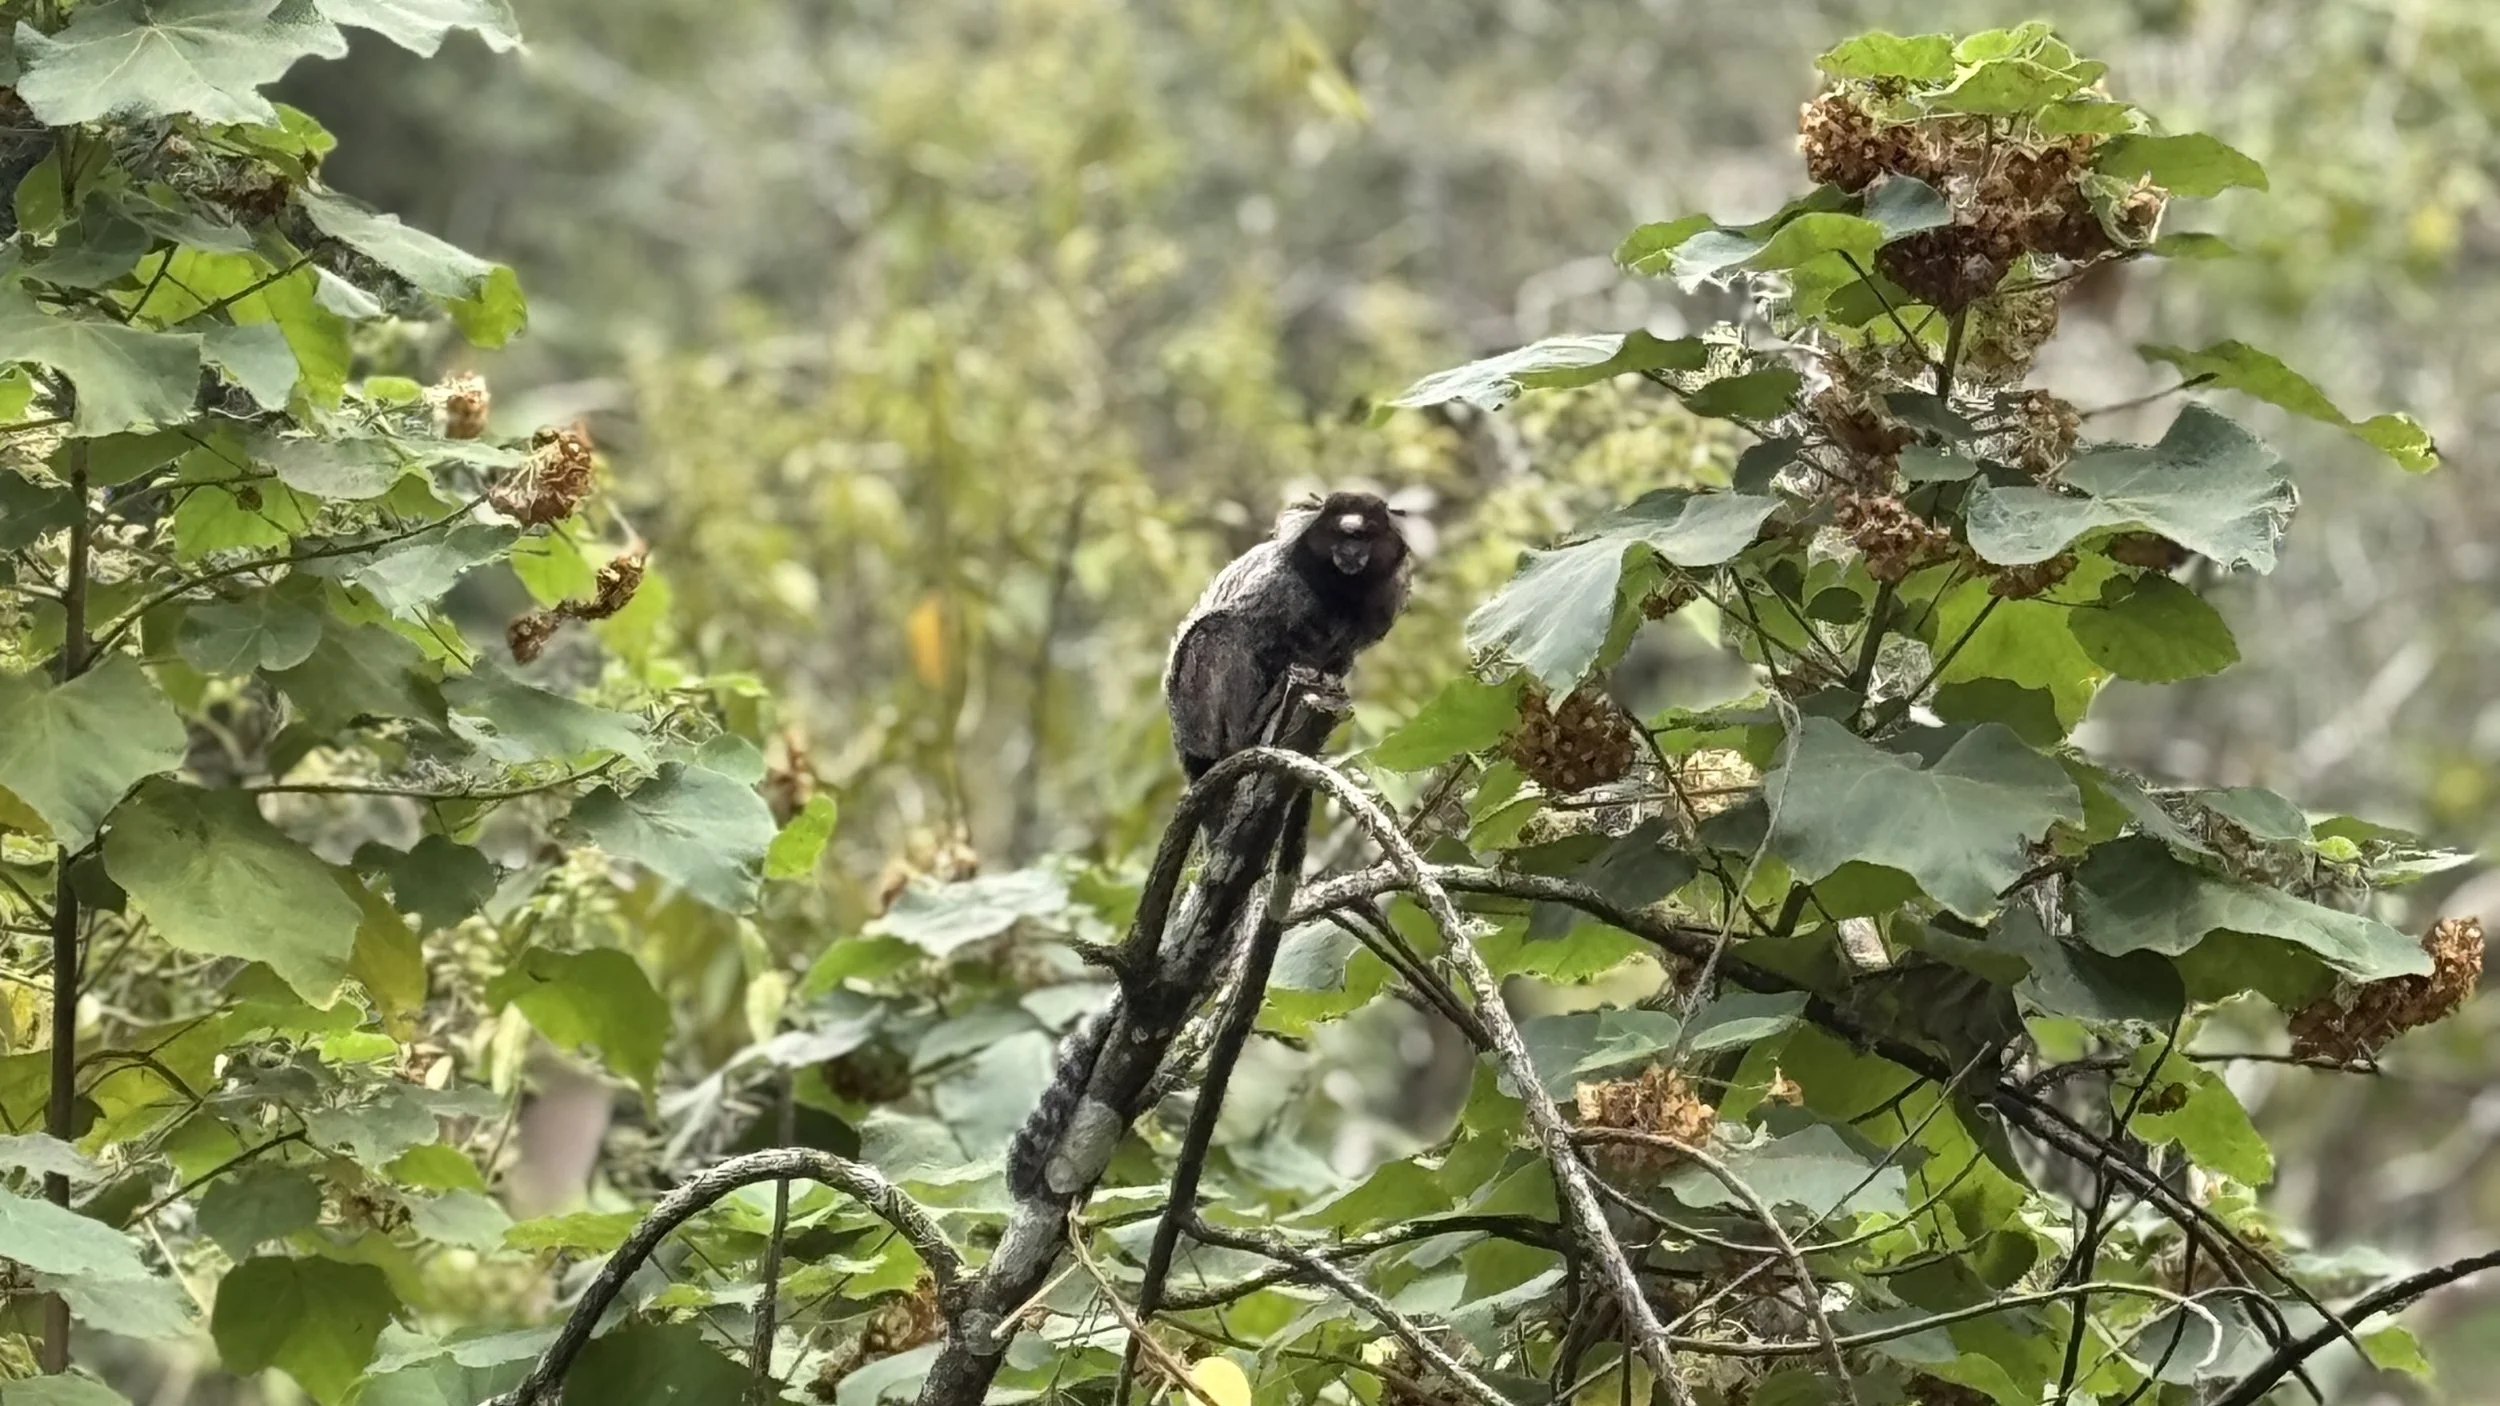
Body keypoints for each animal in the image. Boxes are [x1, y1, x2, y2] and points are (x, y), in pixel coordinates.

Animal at [1162, 489, 1412, 780]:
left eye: (1364, 537)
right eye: (1341, 535)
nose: (1352, 551)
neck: (1340, 593)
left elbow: (1339, 660)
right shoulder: (1277, 584)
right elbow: (1249, 630)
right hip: (1192, 716)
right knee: (1217, 632)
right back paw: (1245, 732)